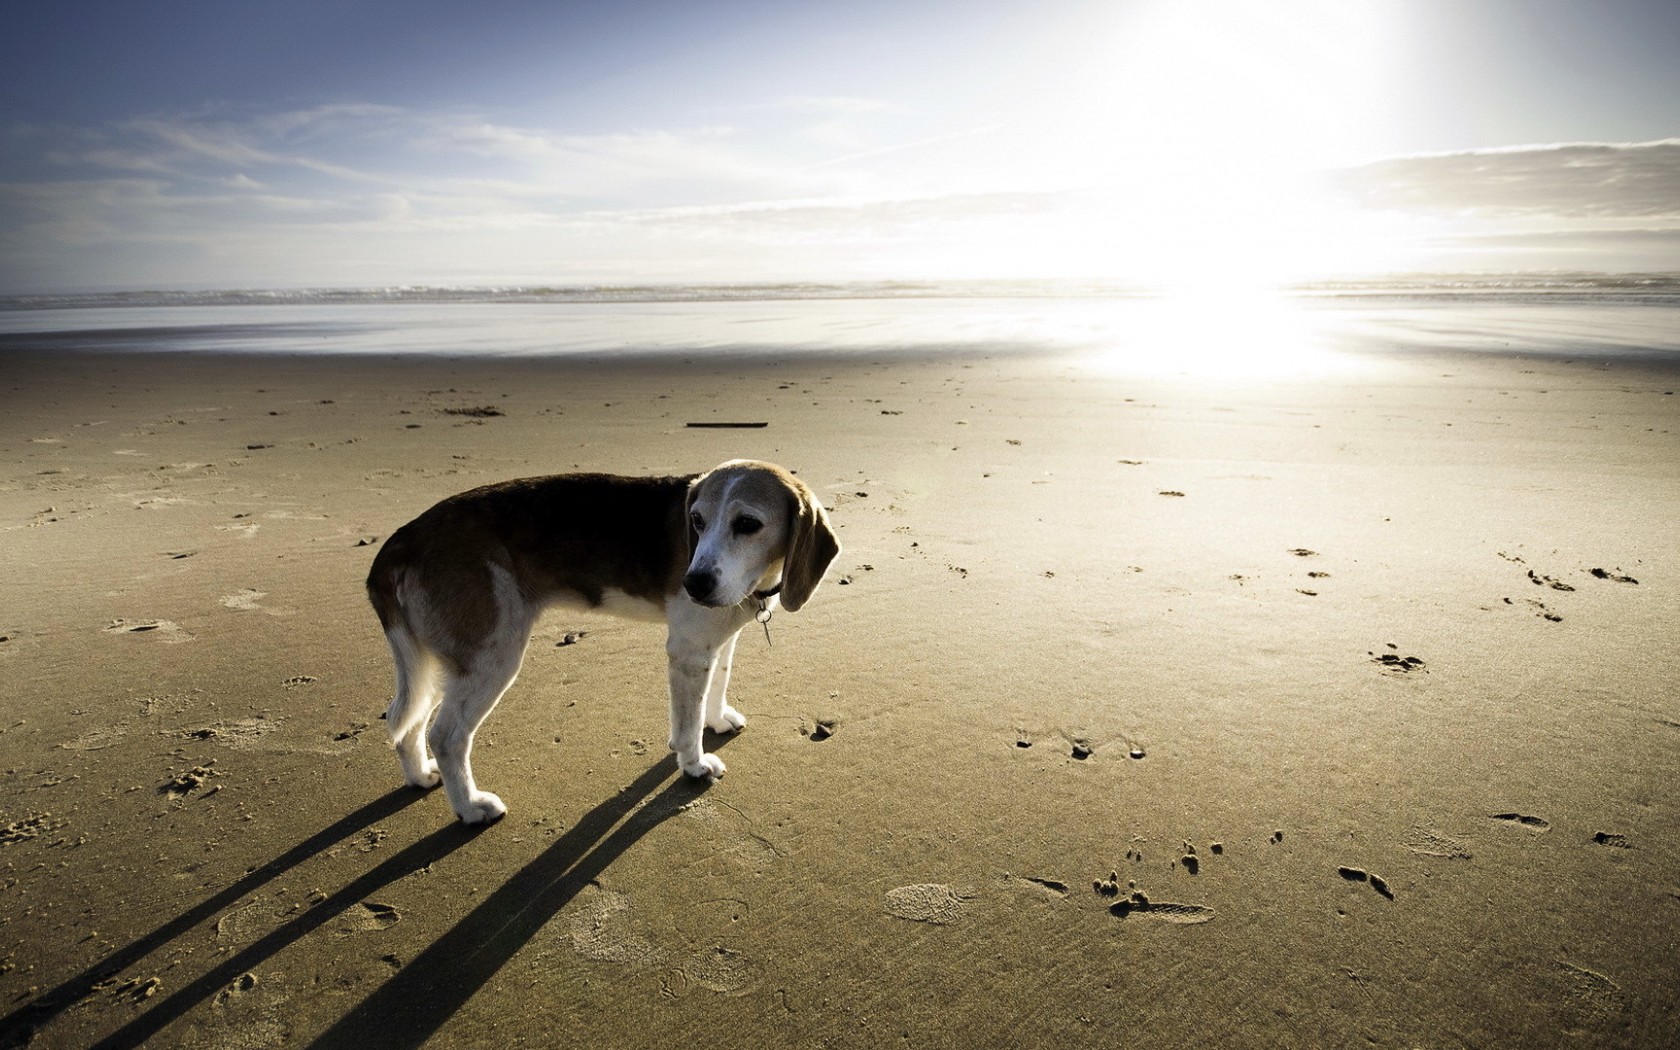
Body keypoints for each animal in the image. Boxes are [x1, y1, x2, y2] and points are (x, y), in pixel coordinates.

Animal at [367, 463, 840, 823]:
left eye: (748, 525)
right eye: (697, 521)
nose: (693, 584)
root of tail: (403, 539)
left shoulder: (717, 643)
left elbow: (717, 685)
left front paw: (717, 719)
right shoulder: (688, 653)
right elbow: (686, 726)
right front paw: (694, 764)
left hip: (440, 666)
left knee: (408, 724)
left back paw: (420, 776)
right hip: (490, 659)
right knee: (446, 736)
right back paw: (469, 807)